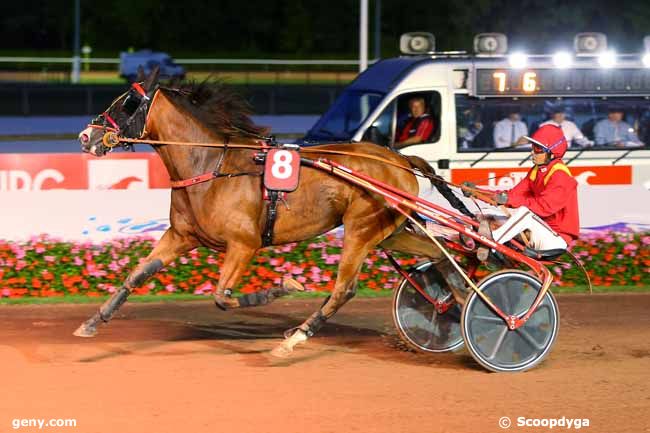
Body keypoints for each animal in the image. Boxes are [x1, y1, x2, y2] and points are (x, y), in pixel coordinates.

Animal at [76, 67, 460, 356]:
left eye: (128, 103)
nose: (85, 136)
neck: (210, 166)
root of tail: (401, 160)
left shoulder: (243, 244)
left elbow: (223, 297)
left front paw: (284, 286)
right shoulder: (182, 236)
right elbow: (136, 275)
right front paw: (93, 322)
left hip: (361, 229)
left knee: (345, 288)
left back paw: (295, 338)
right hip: (390, 232)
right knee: (441, 255)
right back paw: (454, 307)